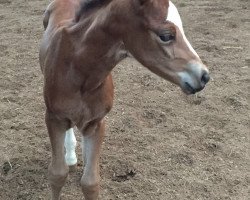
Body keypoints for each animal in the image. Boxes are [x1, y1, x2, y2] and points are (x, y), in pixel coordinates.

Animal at [39, 0, 210, 198]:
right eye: (166, 35)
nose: (204, 76)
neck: (80, 70)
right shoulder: (53, 118)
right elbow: (57, 174)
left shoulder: (97, 123)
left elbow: (90, 183)